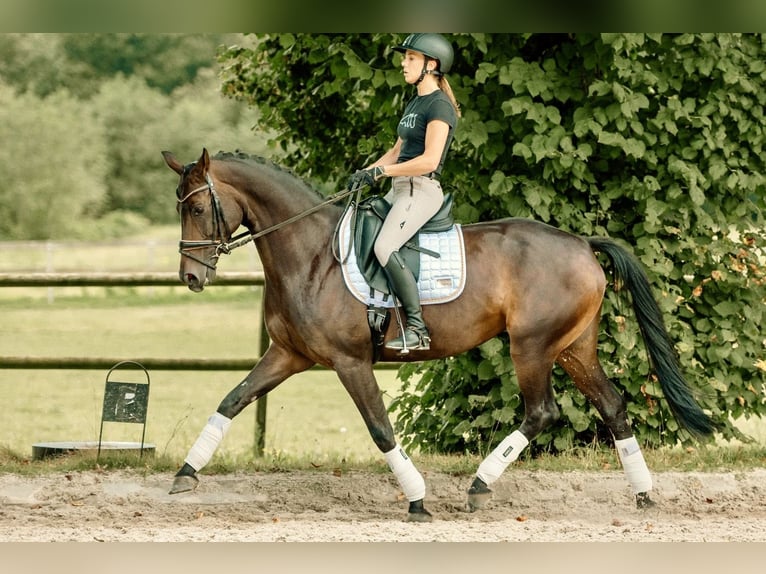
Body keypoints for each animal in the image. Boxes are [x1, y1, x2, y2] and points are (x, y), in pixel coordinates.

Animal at [160, 150, 712, 528]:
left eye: (198, 209)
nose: (190, 278)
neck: (312, 255)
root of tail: (581, 243)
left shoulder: (350, 361)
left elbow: (381, 430)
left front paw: (417, 499)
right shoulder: (288, 355)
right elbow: (232, 400)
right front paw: (186, 474)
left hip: (531, 346)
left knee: (542, 412)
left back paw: (480, 486)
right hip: (573, 348)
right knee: (613, 405)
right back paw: (643, 495)